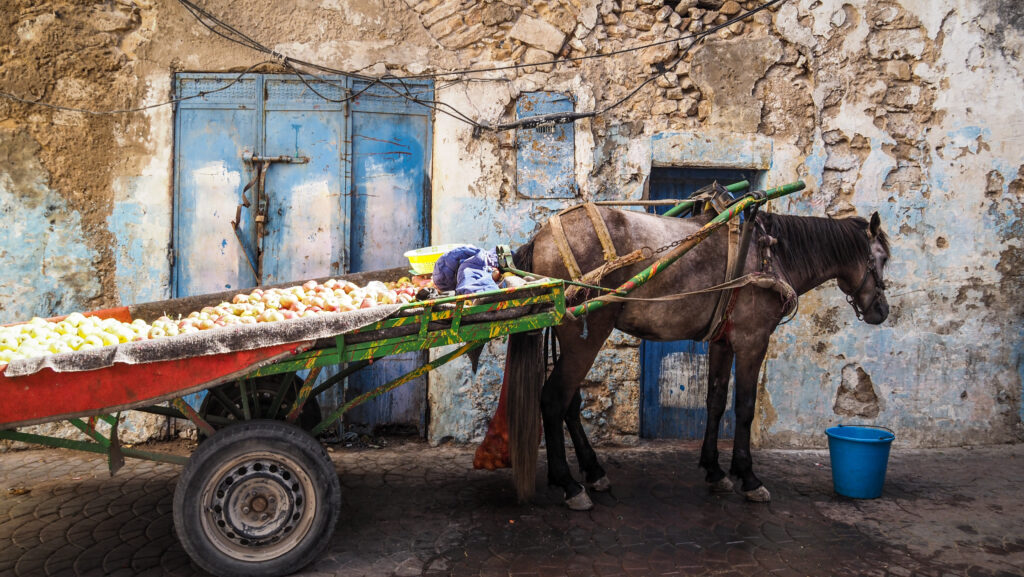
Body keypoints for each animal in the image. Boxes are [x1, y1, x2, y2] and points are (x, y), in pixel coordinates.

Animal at [503, 203, 888, 510]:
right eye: (882, 259)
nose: (881, 311)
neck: (771, 254)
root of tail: (543, 236)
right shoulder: (753, 340)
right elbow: (744, 407)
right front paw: (749, 478)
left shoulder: (723, 341)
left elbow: (715, 401)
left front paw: (715, 471)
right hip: (587, 335)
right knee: (553, 400)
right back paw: (569, 485)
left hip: (574, 336)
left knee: (569, 403)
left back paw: (593, 472)